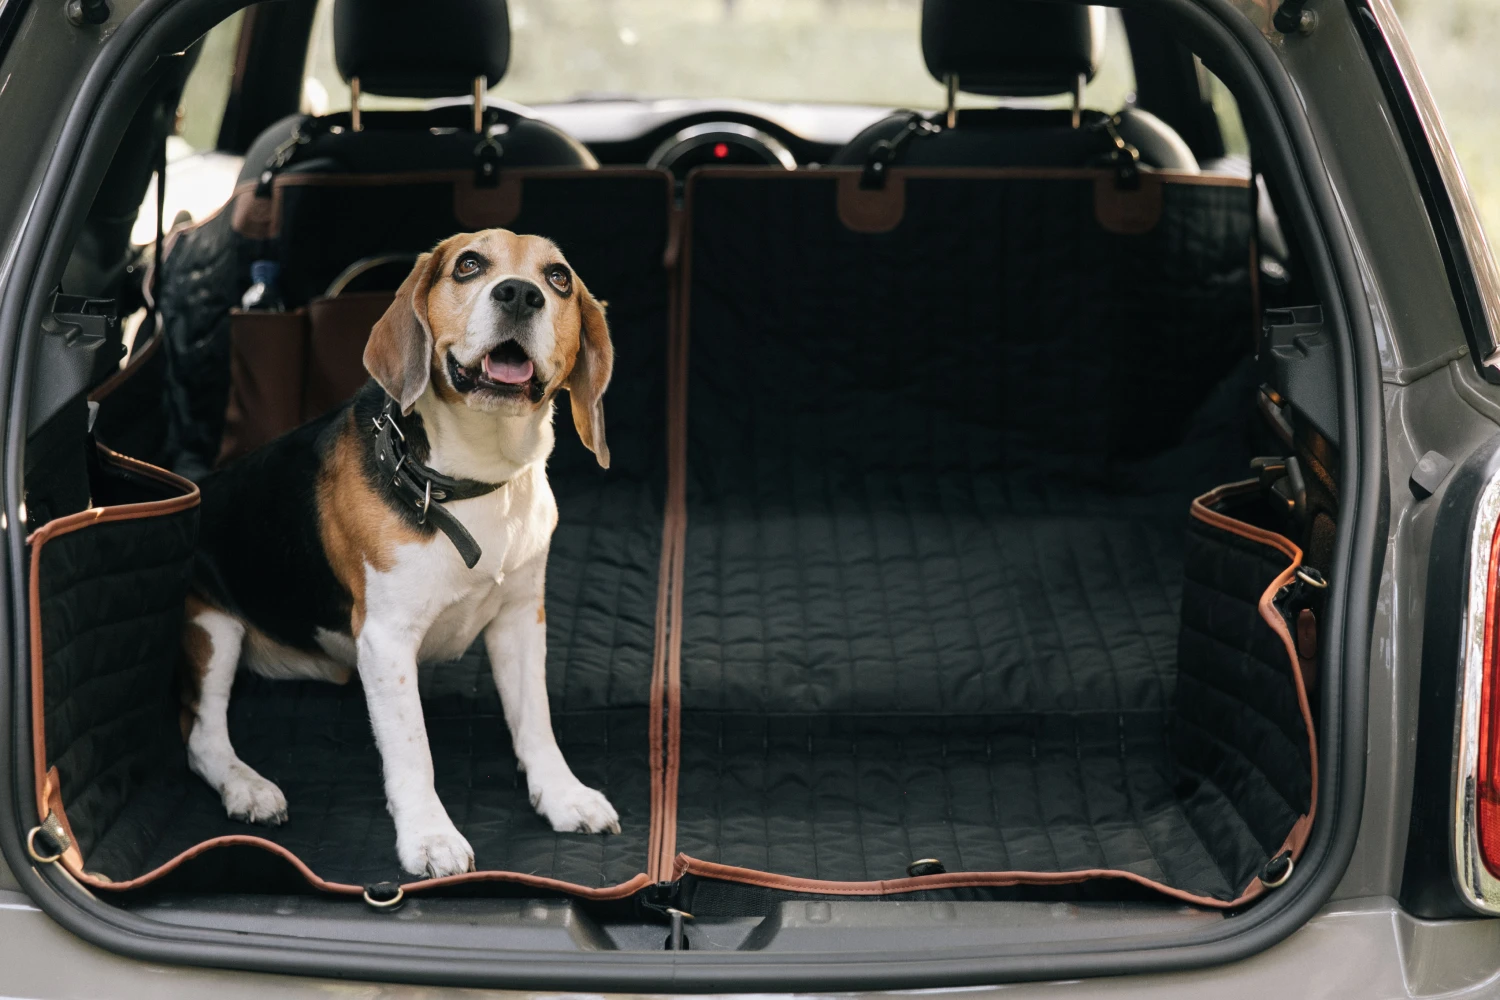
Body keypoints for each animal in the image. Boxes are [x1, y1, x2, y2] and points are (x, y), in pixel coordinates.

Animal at [180, 230, 615, 881]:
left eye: (559, 278)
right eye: (468, 265)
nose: (520, 294)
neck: (476, 481)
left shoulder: (520, 618)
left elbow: (534, 719)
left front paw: (562, 795)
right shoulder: (386, 639)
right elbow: (413, 751)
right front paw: (430, 838)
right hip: (214, 628)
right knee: (202, 736)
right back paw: (248, 787)